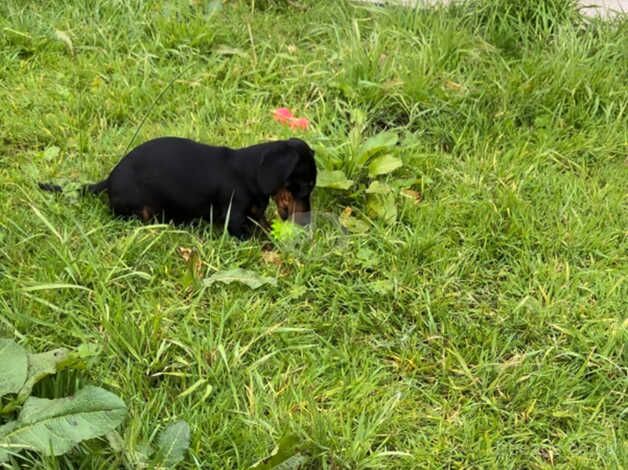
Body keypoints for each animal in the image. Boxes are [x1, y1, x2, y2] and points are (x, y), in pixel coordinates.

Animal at [39, 136, 316, 239]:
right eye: (305, 187)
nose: (307, 224)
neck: (248, 175)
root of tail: (109, 178)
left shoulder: (255, 212)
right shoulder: (234, 219)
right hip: (139, 209)